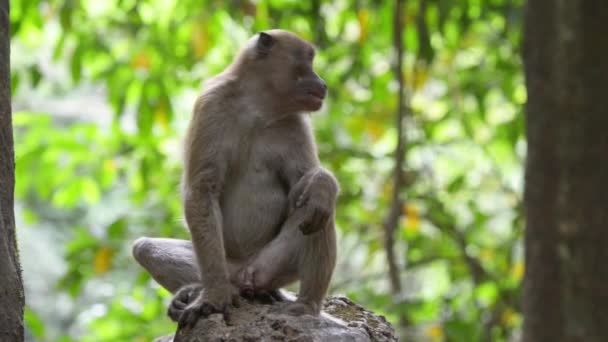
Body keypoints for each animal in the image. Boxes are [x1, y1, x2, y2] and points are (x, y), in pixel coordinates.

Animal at [131, 29, 340, 328]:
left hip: (271, 266)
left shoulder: (295, 123)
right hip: (225, 263)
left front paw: (323, 183)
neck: (258, 105)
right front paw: (214, 296)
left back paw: (306, 304)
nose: (322, 83)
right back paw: (204, 290)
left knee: (317, 208)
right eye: (307, 60)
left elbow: (305, 182)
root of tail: (247, 273)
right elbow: (202, 191)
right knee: (146, 248)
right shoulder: (211, 105)